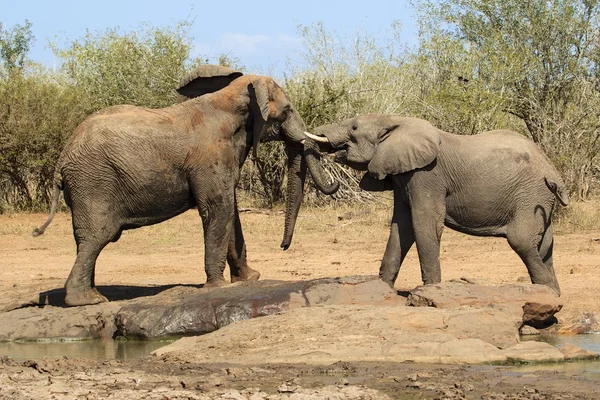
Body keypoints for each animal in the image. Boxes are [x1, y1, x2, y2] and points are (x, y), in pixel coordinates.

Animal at [34, 65, 338, 306]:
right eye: (287, 111)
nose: (283, 247)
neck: (232, 97)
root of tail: (63, 158)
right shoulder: (211, 156)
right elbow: (218, 209)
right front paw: (218, 287)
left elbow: (230, 213)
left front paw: (250, 279)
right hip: (93, 182)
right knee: (97, 236)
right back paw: (88, 301)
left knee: (86, 240)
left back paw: (91, 294)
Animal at [308, 114, 568, 296]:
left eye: (353, 128)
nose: (333, 183)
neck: (394, 120)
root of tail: (553, 171)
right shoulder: (403, 176)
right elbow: (401, 227)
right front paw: (382, 290)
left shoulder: (426, 175)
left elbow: (424, 223)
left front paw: (430, 291)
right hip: (539, 198)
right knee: (545, 246)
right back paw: (552, 296)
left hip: (530, 194)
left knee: (521, 241)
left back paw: (546, 295)